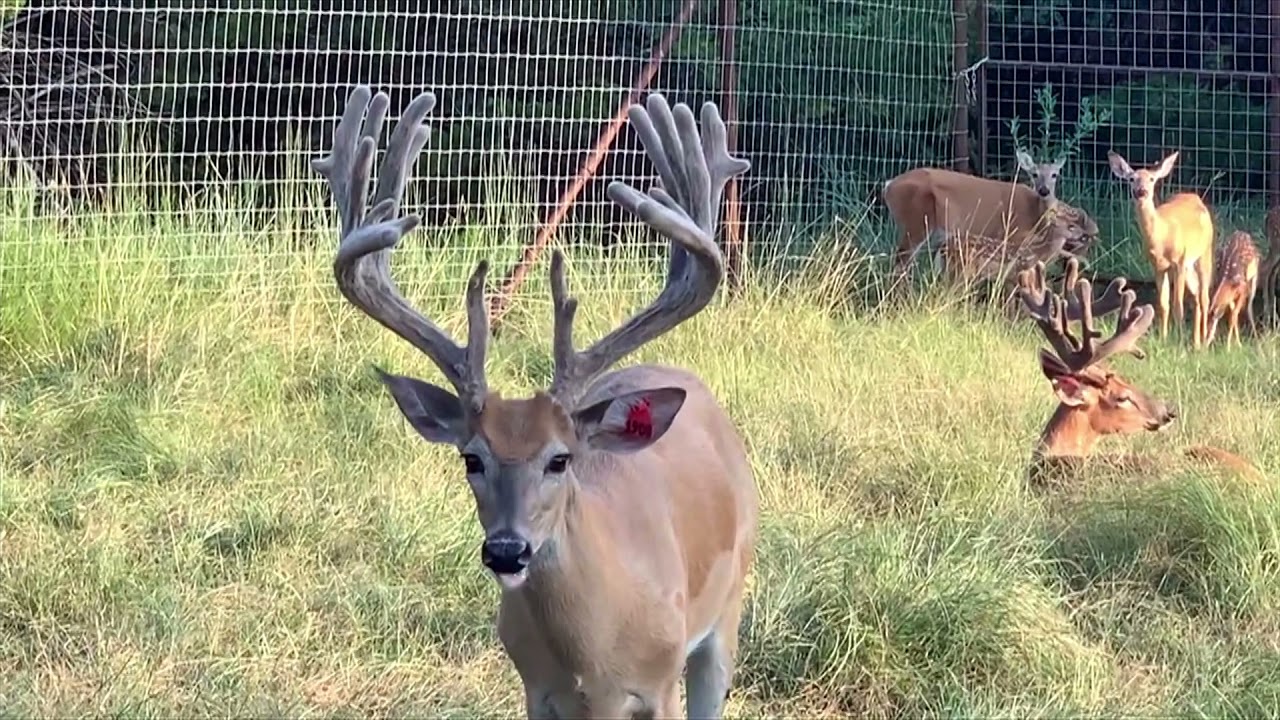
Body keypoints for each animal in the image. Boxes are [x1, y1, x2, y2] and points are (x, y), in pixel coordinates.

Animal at [313, 86, 758, 719]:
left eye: (560, 459)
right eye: (471, 458)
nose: (506, 550)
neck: (592, 662)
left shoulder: (660, 684)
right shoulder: (538, 692)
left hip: (728, 605)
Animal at [884, 150, 1098, 278]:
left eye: (1055, 174)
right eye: (1034, 174)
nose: (1044, 190)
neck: (1036, 217)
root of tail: (888, 186)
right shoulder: (1013, 236)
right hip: (917, 223)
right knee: (900, 266)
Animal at [1107, 150, 1215, 349]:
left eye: (1151, 179)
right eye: (1132, 179)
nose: (1141, 191)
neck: (1161, 237)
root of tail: (1195, 197)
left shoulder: (1179, 262)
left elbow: (1178, 305)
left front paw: (1178, 341)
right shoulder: (1158, 266)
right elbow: (1163, 304)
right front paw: (1163, 339)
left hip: (1204, 253)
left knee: (1205, 297)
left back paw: (1203, 341)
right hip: (1189, 266)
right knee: (1197, 296)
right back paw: (1196, 341)